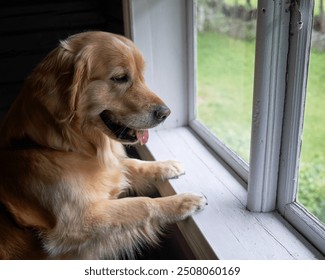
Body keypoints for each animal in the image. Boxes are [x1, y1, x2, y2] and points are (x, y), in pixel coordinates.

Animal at [0, 31, 206, 260]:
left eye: (141, 75)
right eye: (120, 78)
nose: (166, 113)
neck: (58, 147)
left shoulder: (111, 167)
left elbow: (131, 163)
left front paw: (167, 165)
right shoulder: (77, 222)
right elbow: (141, 204)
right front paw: (182, 202)